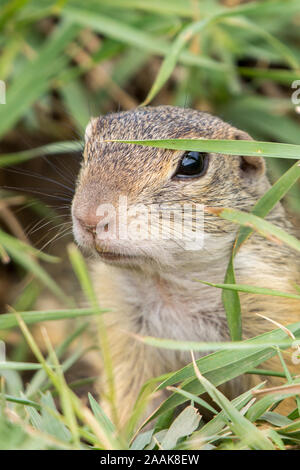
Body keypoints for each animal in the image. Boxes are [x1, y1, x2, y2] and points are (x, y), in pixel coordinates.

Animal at [71, 105, 298, 426]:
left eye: (193, 163)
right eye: (86, 148)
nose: (88, 217)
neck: (169, 283)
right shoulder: (125, 334)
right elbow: (131, 399)